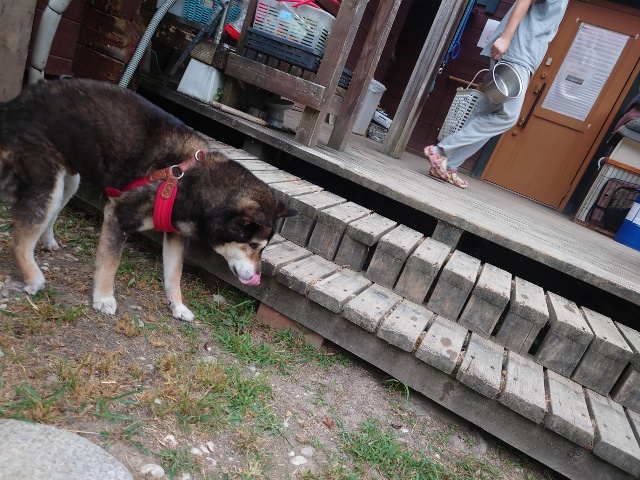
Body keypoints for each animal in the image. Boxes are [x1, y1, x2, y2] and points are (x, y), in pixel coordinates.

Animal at [0, 79, 296, 321]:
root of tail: (19, 100)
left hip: (69, 181)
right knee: (19, 240)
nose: (257, 278)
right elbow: (110, 263)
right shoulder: (118, 216)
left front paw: (177, 306)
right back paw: (33, 277)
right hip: (46, 183)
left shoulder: (176, 236)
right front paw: (103, 298)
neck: (190, 182)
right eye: (253, 245)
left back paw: (47, 241)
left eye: (263, 249)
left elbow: (174, 276)